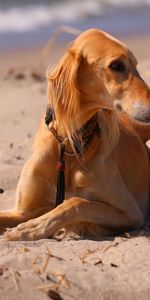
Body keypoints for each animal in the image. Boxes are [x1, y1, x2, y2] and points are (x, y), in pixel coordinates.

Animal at [0, 28, 150, 239]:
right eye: (116, 65)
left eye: (136, 66)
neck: (69, 145)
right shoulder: (21, 211)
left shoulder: (131, 211)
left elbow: (75, 202)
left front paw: (34, 227)